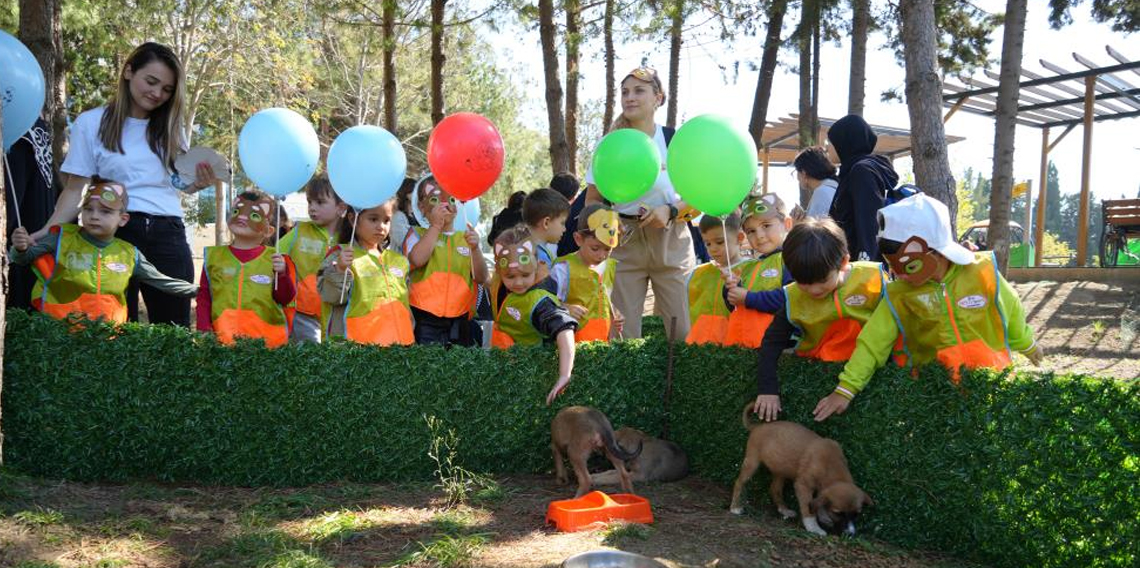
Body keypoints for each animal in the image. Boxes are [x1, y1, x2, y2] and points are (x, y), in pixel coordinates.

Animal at [729, 403, 870, 536]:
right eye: (838, 513)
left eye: (856, 514)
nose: (850, 534)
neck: (831, 465)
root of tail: (757, 426)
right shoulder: (803, 485)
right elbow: (808, 506)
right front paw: (814, 527)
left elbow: (818, 503)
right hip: (752, 462)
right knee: (739, 482)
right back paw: (735, 507)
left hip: (781, 469)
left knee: (774, 489)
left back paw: (784, 510)